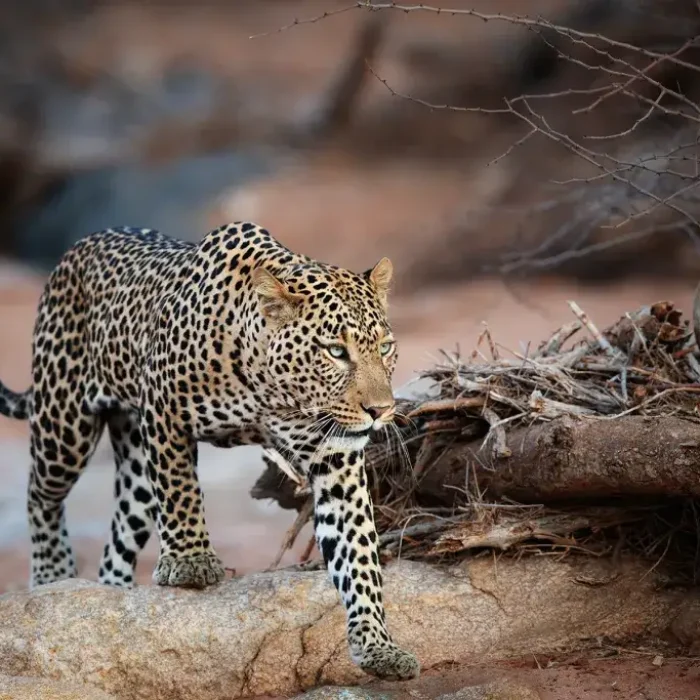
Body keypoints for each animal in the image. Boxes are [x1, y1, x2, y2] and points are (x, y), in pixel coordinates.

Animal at [0, 223, 422, 680]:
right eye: (336, 351)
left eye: (385, 348)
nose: (381, 411)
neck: (274, 392)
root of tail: (81, 245)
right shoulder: (164, 409)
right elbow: (181, 490)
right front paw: (191, 561)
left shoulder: (336, 458)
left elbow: (357, 551)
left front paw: (377, 645)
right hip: (64, 424)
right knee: (40, 494)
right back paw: (53, 574)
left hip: (136, 472)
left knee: (116, 545)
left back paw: (111, 596)